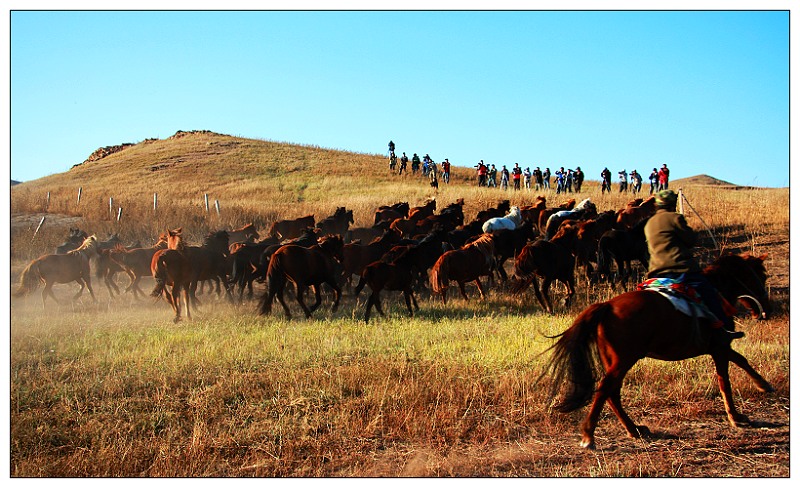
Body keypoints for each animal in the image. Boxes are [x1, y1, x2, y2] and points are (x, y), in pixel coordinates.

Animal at [540, 254, 772, 448]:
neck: (716, 289)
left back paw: (634, 430)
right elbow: (725, 381)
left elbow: (741, 360)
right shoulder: (719, 347)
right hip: (624, 359)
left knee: (612, 393)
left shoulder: (719, 346)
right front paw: (735, 416)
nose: (765, 311)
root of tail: (606, 306)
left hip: (614, 360)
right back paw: (589, 436)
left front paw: (763, 385)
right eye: (761, 275)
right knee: (606, 389)